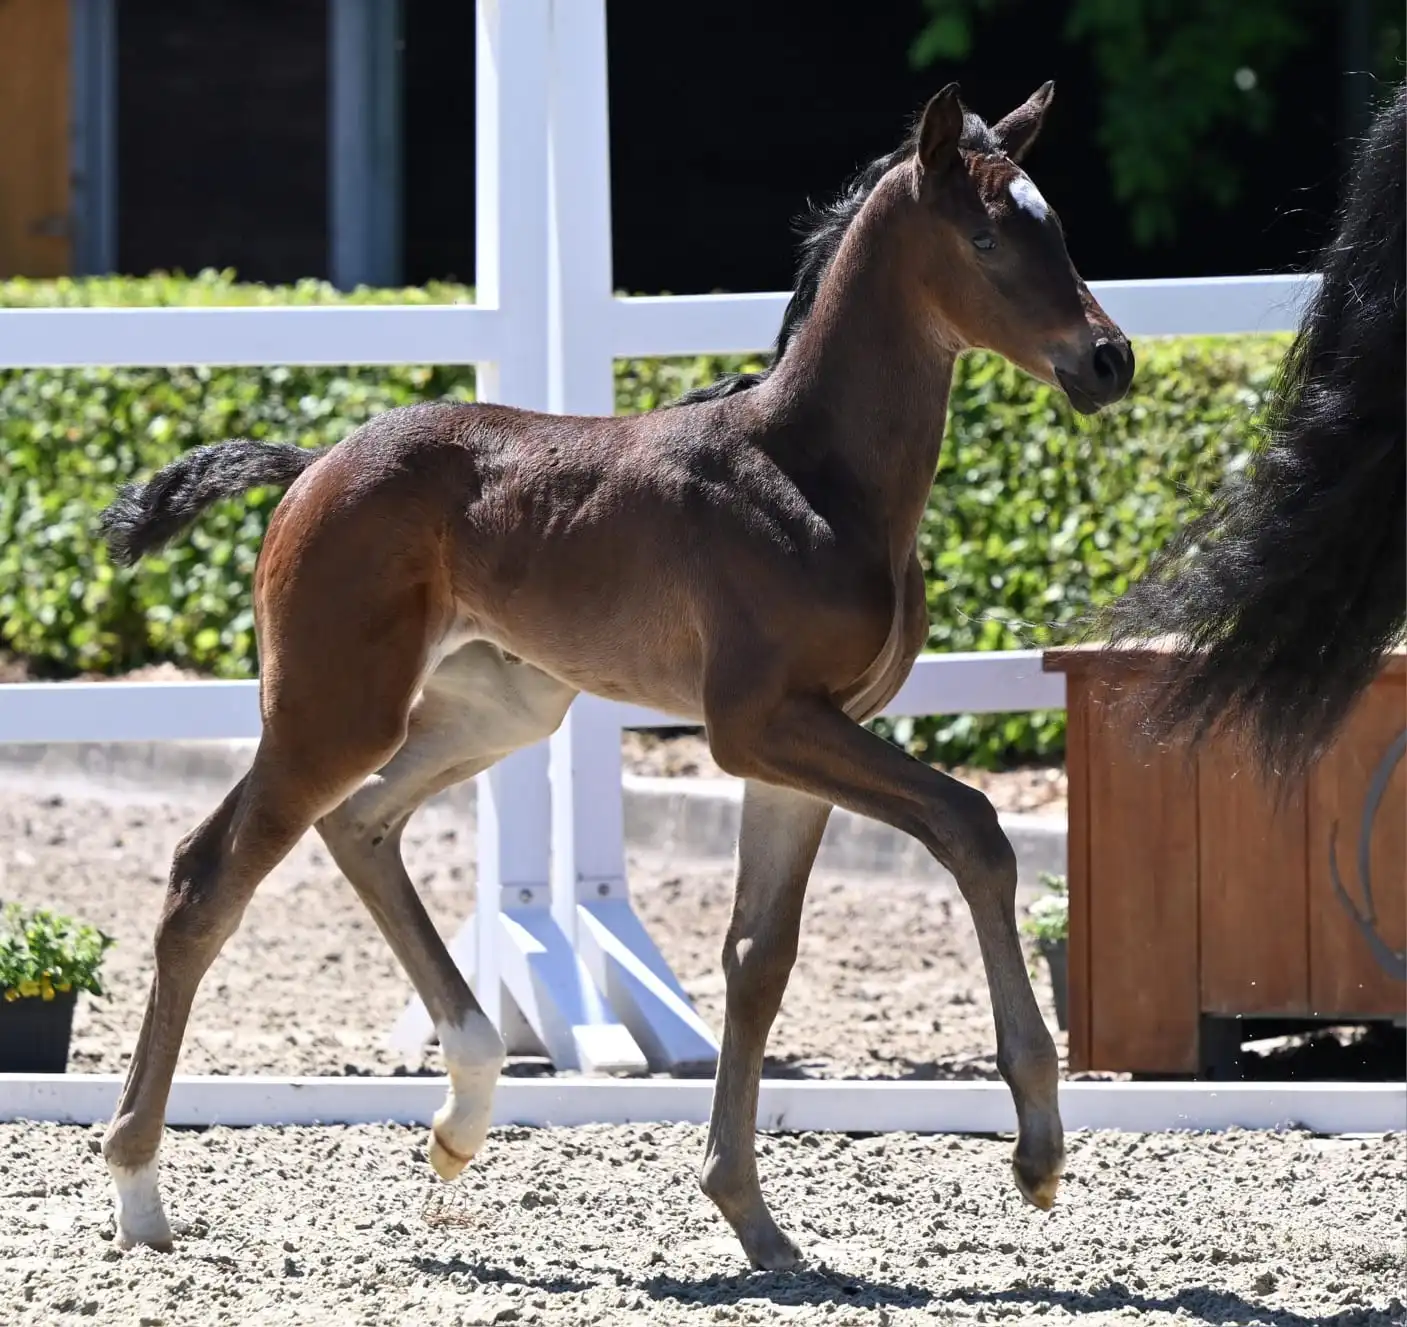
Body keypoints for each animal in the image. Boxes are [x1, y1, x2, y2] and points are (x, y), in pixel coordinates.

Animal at [97, 82, 1133, 1270]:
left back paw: (462, 1113)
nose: (1109, 359)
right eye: (987, 238)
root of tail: (311, 467)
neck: (812, 471)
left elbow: (756, 956)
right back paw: (139, 1191)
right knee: (206, 877)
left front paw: (750, 1214)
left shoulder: (797, 745)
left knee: (358, 824)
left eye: (1057, 228)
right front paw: (1038, 1148)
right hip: (332, 710)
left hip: (498, 709)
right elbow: (973, 827)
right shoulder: (760, 723)